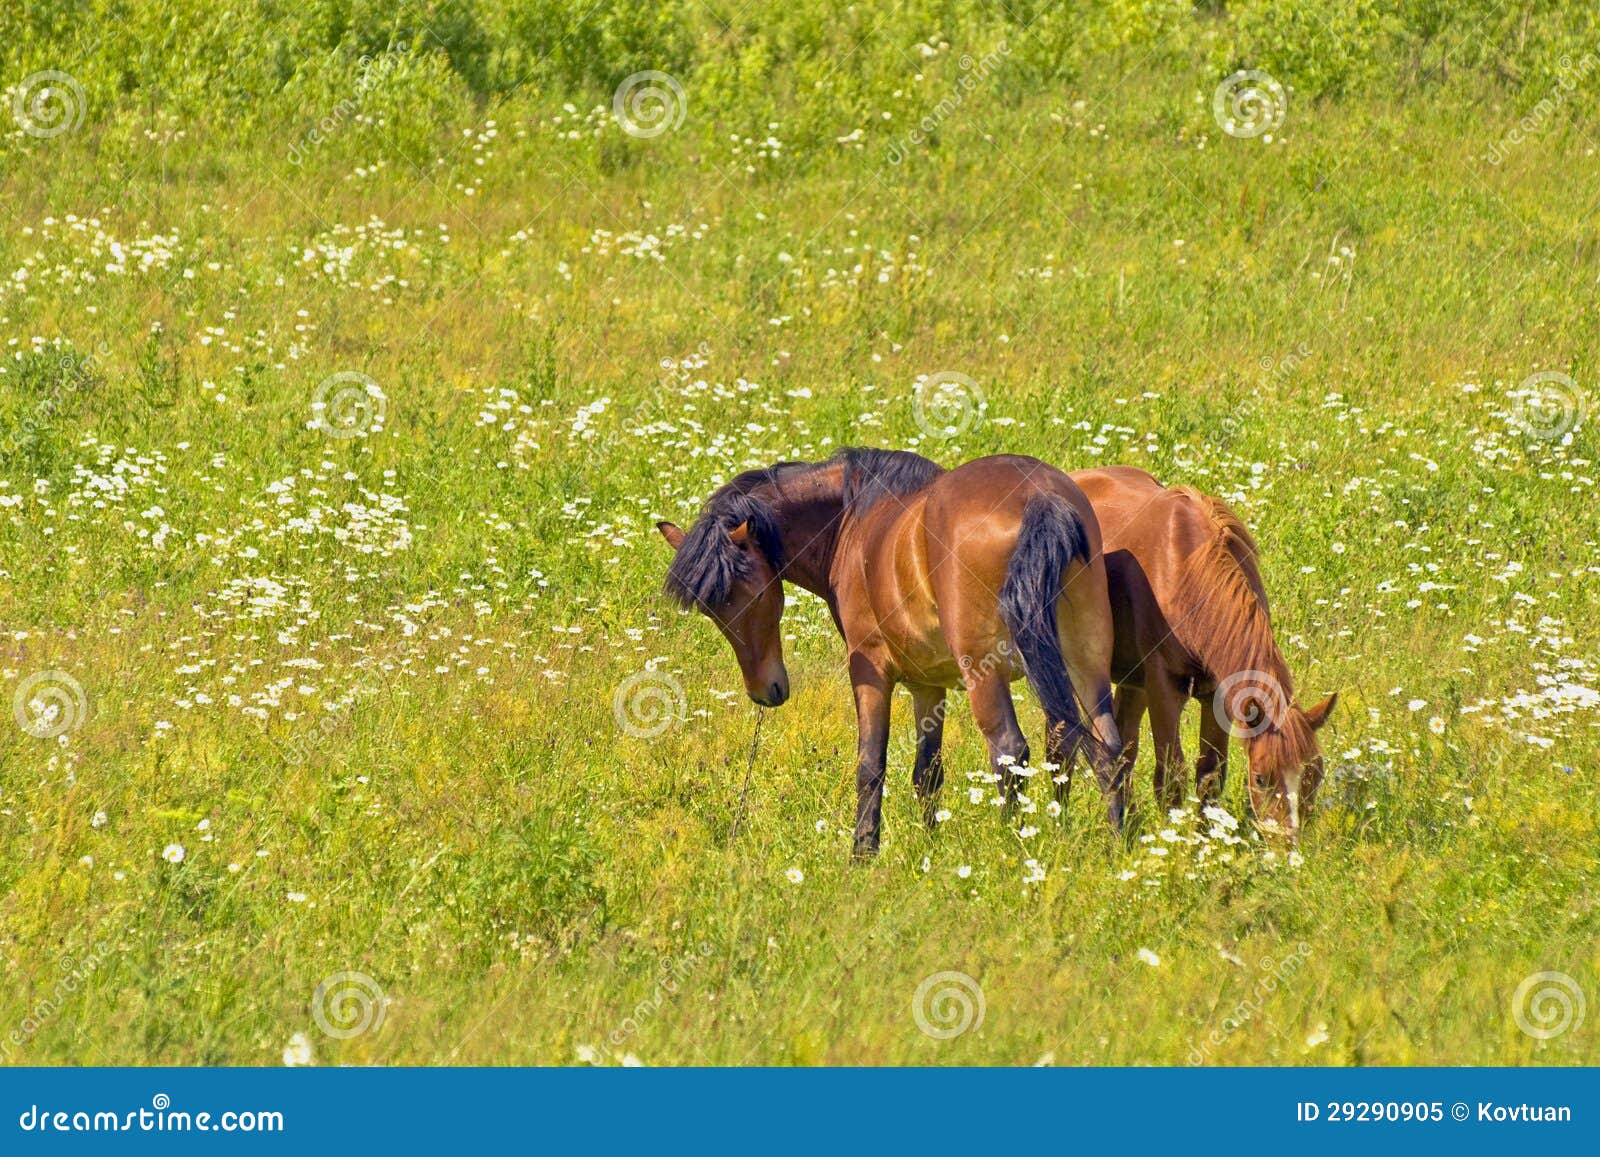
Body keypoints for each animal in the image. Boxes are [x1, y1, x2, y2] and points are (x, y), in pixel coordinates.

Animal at [657, 448, 1127, 858]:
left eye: (755, 595)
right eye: (711, 610)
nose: (765, 691)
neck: (854, 521)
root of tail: (1038, 497)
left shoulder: (870, 674)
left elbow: (870, 766)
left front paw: (863, 852)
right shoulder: (927, 685)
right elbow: (927, 773)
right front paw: (929, 847)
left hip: (987, 677)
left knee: (1011, 753)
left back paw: (1016, 844)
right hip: (1084, 669)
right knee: (1099, 747)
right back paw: (1110, 842)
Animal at [1070, 465, 1337, 839]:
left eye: (1315, 774)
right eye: (1261, 778)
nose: (1288, 845)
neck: (1185, 571)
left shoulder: (1217, 694)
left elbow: (1210, 774)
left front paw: (1202, 839)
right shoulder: (1164, 688)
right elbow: (1171, 776)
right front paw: (1172, 842)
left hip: (1131, 681)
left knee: (1122, 749)